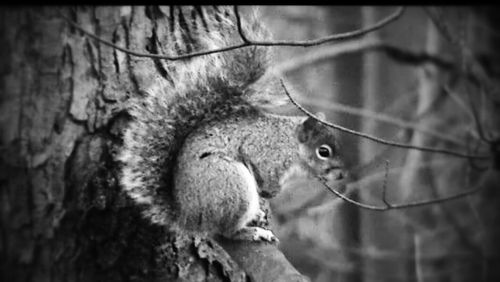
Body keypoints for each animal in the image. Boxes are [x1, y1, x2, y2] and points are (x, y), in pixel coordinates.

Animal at [118, 5, 344, 241]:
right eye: (324, 152)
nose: (342, 174)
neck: (292, 143)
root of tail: (188, 218)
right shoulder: (268, 153)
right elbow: (262, 169)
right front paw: (271, 191)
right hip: (231, 186)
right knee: (226, 231)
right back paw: (252, 232)